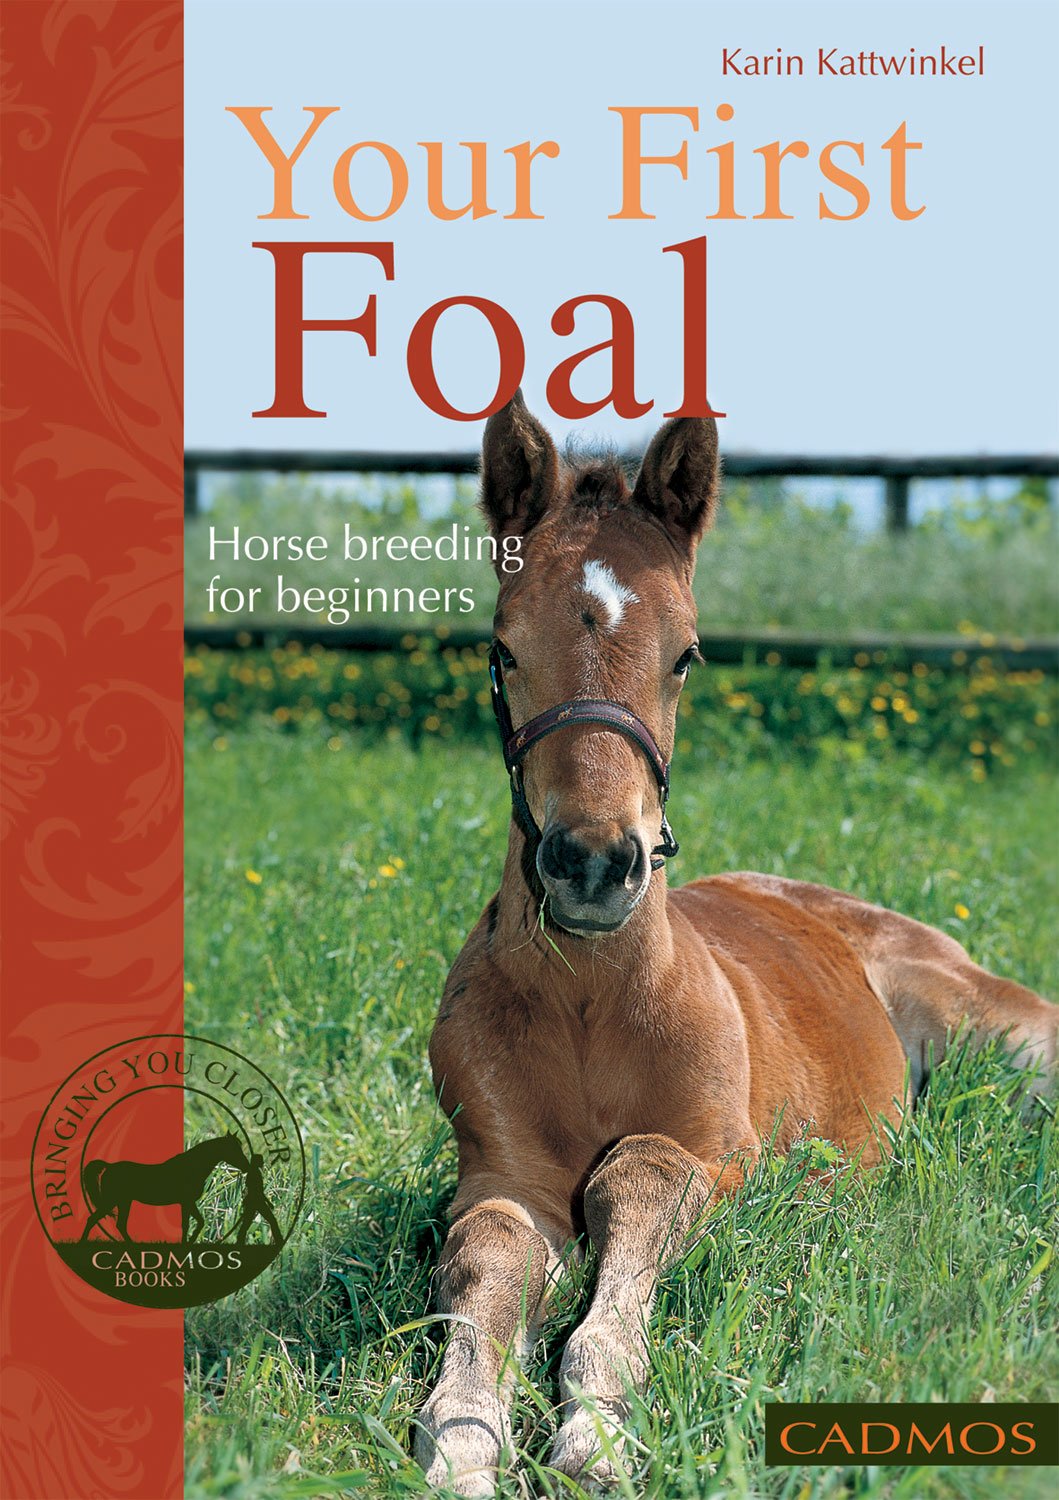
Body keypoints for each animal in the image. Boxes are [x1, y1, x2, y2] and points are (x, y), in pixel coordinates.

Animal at [80, 1131, 250, 1243]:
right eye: (234, 1149)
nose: (247, 1166)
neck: (191, 1168)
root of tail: (109, 1166)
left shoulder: (187, 1203)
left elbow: (195, 1223)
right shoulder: (186, 1202)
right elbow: (189, 1224)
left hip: (123, 1202)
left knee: (120, 1225)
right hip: (113, 1200)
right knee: (94, 1219)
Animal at [414, 393, 1057, 1495]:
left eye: (686, 654)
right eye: (501, 650)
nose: (593, 864)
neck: (590, 1002)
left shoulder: (719, 1156)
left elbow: (638, 1177)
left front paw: (594, 1430)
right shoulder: (498, 1171)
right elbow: (487, 1257)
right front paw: (458, 1441)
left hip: (1014, 1044)